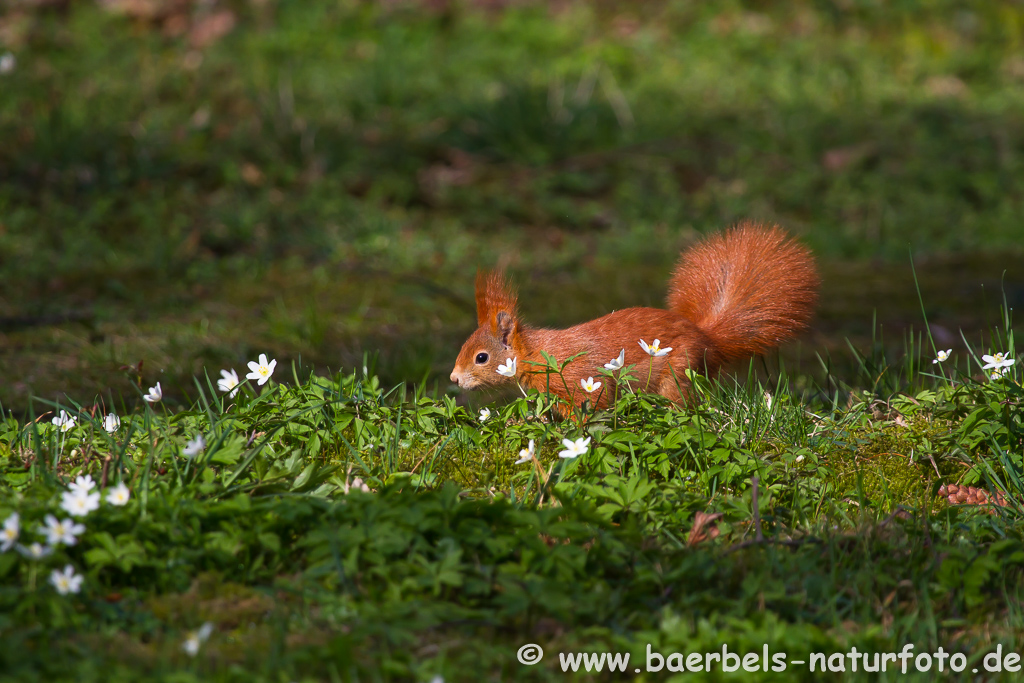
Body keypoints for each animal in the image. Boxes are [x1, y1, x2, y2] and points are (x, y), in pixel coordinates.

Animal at [452, 222, 819, 409]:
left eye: (481, 357)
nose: (454, 379)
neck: (538, 354)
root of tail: (708, 339)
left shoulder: (581, 379)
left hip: (680, 373)